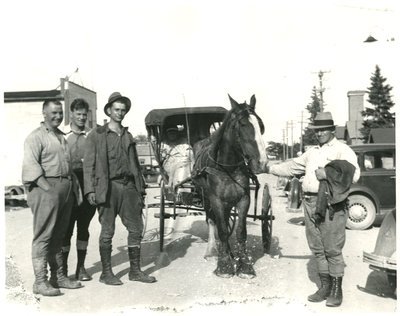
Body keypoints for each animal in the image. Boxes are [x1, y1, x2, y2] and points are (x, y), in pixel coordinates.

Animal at [192, 94, 268, 278]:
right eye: (243, 124)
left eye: (261, 125)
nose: (262, 163)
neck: (228, 169)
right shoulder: (216, 200)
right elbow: (222, 230)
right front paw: (224, 265)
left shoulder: (244, 199)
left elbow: (240, 231)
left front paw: (244, 265)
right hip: (207, 199)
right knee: (213, 222)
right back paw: (213, 252)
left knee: (225, 221)